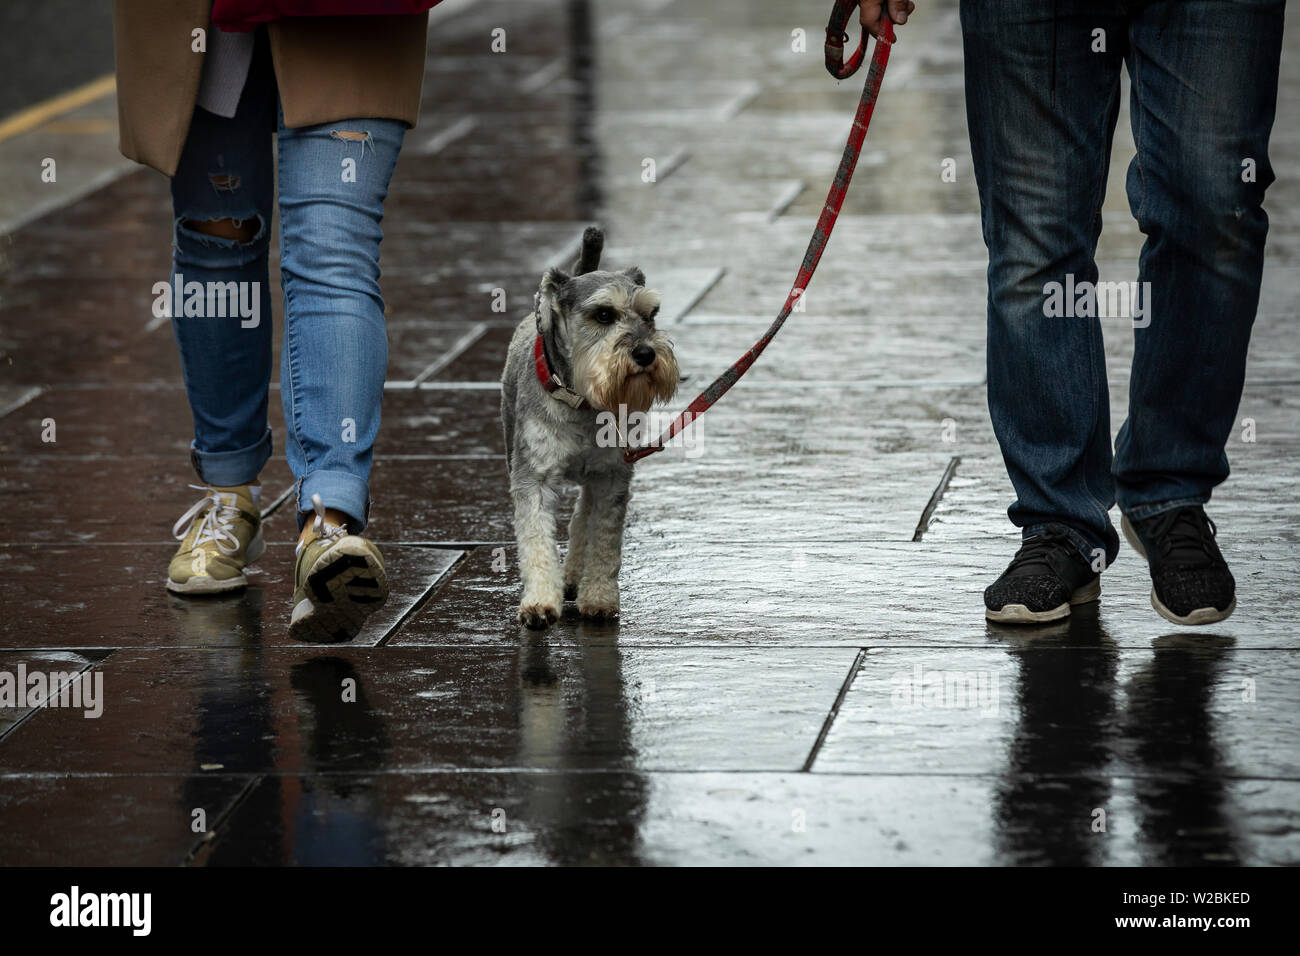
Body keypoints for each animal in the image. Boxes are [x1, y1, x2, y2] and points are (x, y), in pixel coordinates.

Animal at [499, 223, 681, 629]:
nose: (645, 353)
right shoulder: (533, 478)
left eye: (651, 314)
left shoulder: (613, 475)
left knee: (583, 513)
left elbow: (604, 541)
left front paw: (598, 598)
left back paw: (572, 575)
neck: (583, 403)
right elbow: (536, 541)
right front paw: (539, 602)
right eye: (603, 314)